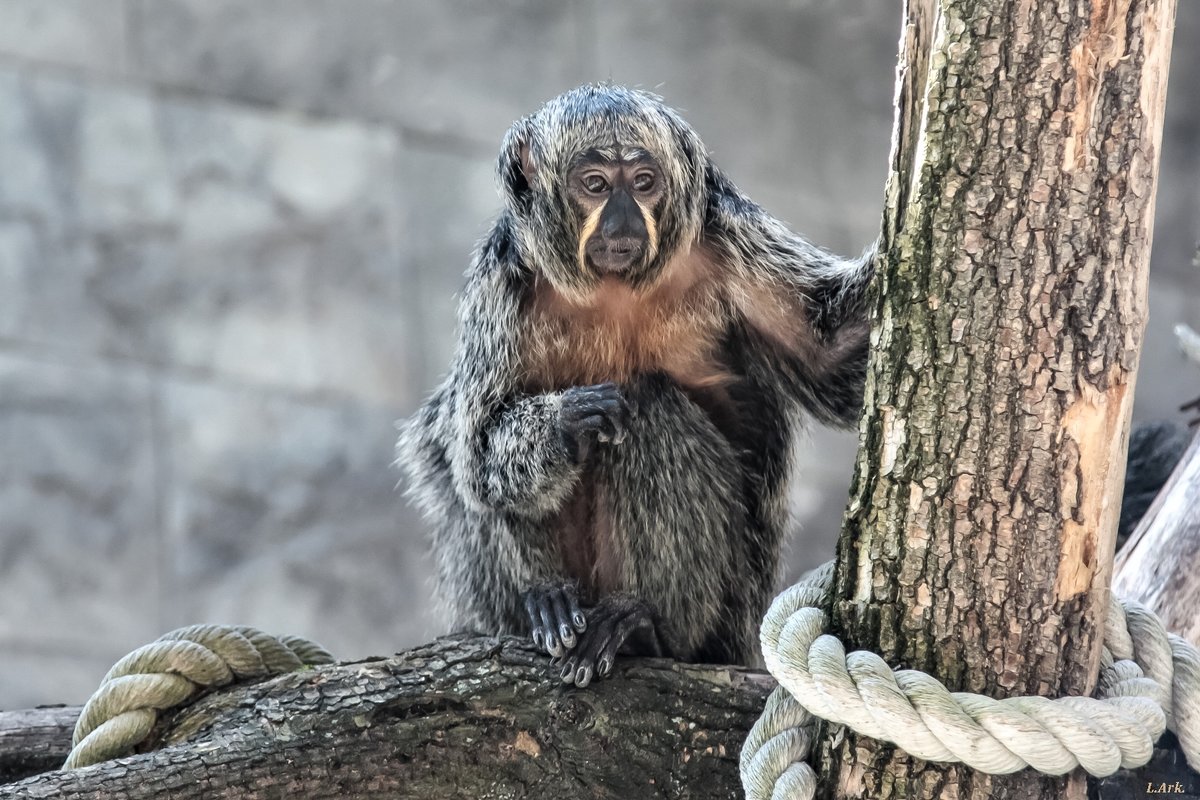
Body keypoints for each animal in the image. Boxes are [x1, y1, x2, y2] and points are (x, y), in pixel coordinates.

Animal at [398, 86, 878, 690]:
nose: (623, 221)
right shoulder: (502, 283)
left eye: (644, 182)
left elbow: (829, 359)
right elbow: (478, 455)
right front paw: (566, 421)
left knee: (648, 409)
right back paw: (549, 603)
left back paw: (640, 624)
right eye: (596, 184)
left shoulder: (731, 241)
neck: (614, 289)